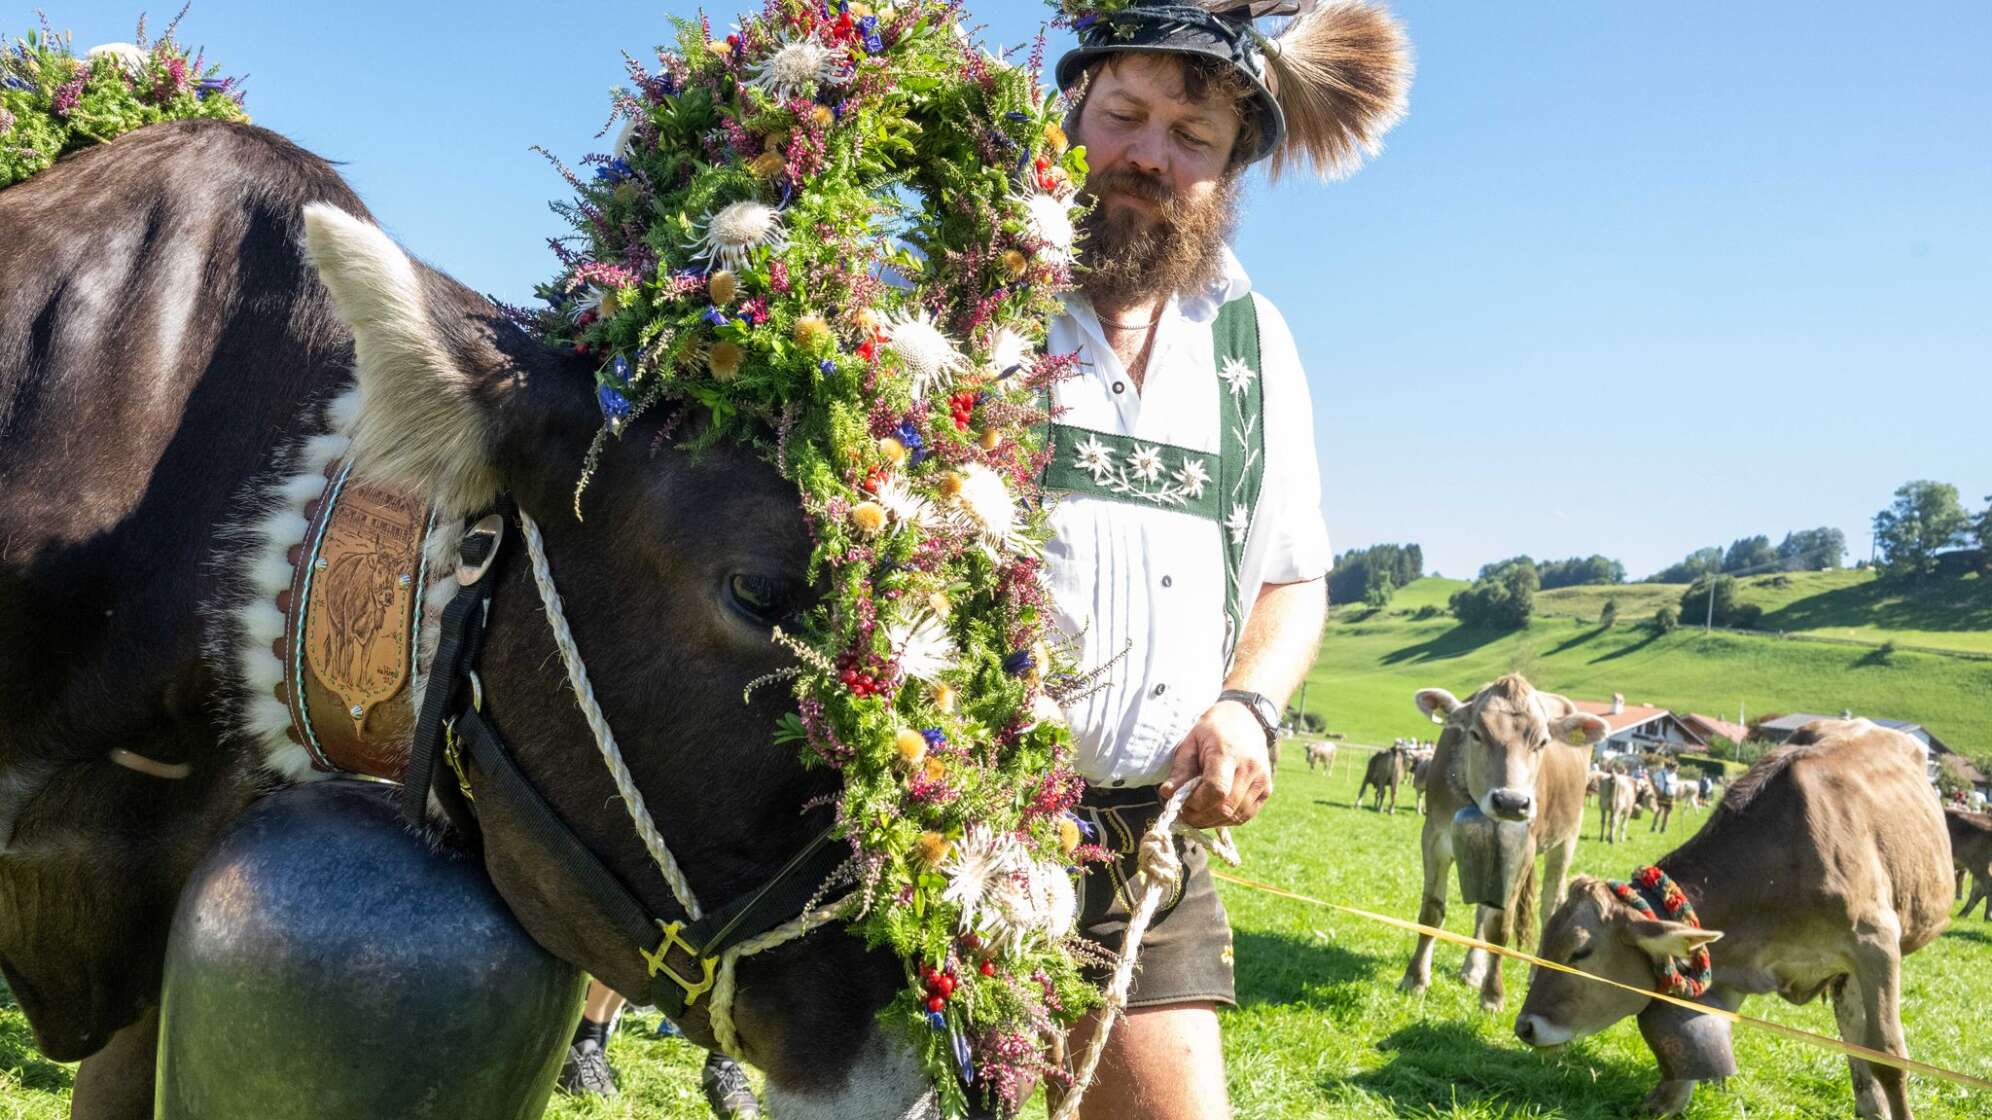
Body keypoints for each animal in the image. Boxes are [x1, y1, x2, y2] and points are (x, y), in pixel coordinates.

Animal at [1394, 677, 1609, 1008]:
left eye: (1542, 742)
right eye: (1475, 734)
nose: (1511, 802)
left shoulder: (1524, 850)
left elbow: (1500, 927)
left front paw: (1493, 994)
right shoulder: (1434, 837)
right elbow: (1432, 913)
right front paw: (1415, 978)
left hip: (1567, 837)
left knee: (1550, 905)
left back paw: (1534, 972)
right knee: (1483, 909)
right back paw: (1472, 969)